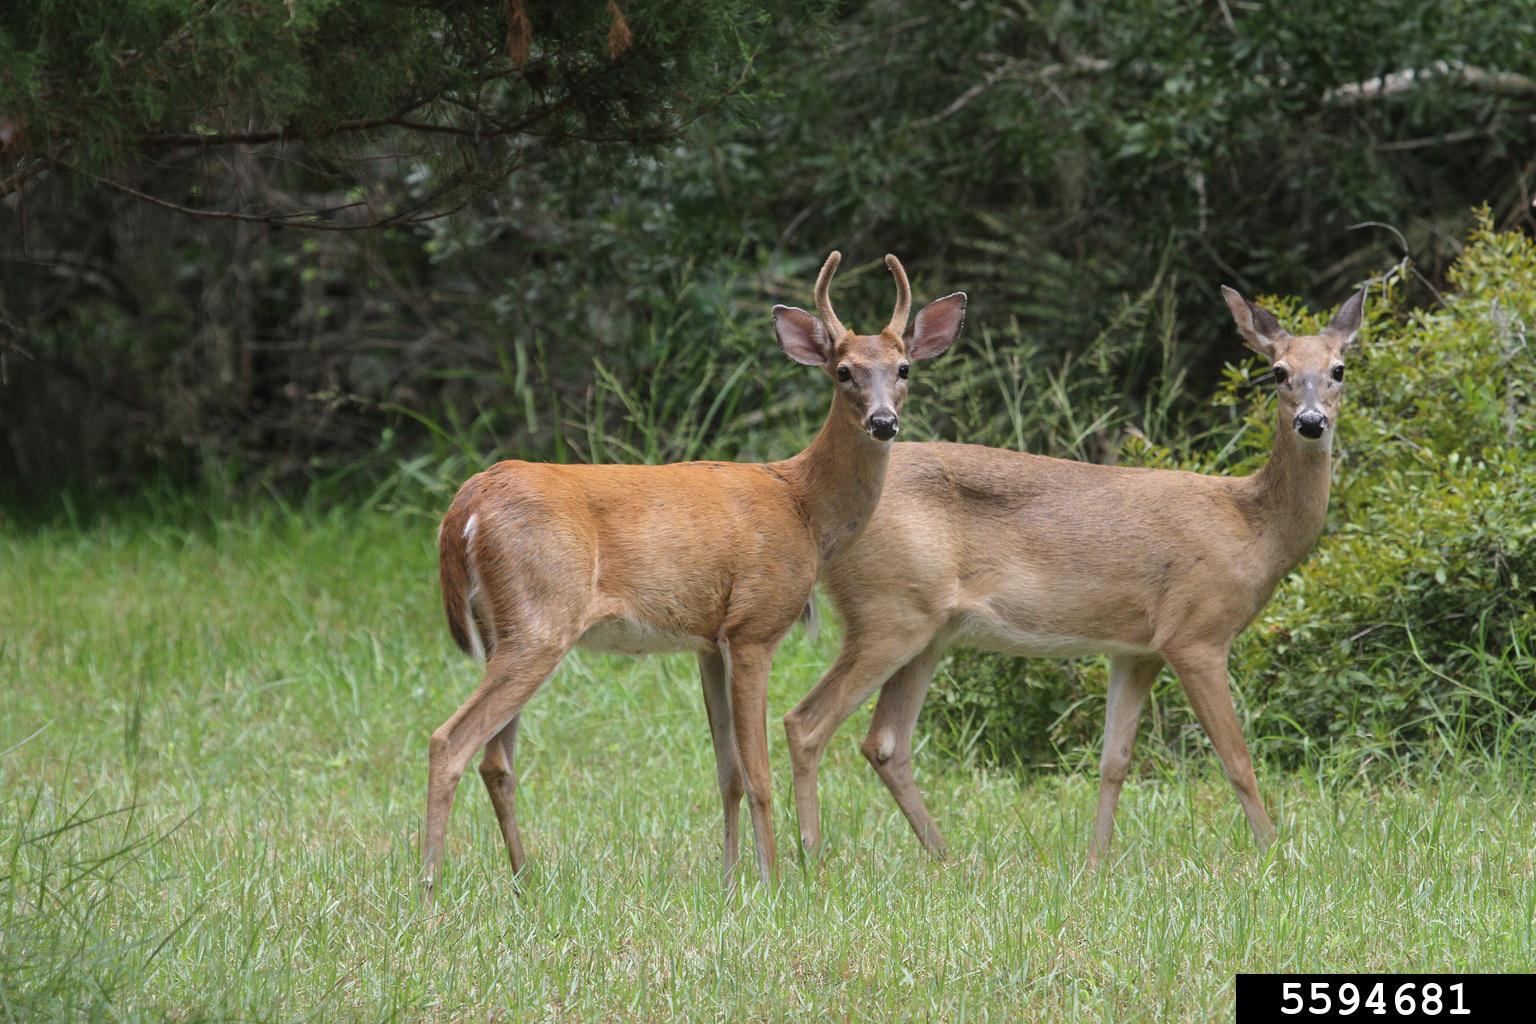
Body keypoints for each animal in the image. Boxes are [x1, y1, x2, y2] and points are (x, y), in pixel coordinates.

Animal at [427, 251, 964, 902]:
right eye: (843, 372)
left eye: (904, 368)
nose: (884, 422)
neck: (803, 508)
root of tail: (466, 504)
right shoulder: (755, 625)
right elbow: (758, 770)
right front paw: (773, 883)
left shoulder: (708, 640)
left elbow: (726, 770)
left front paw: (732, 881)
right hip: (541, 619)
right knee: (449, 742)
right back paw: (428, 889)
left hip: (505, 627)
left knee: (495, 760)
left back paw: (524, 882)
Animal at [786, 284, 1363, 872]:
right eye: (1277, 371)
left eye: (1339, 369)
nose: (1311, 421)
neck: (1252, 527)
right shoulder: (1197, 632)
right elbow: (1238, 760)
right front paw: (1276, 856)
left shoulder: (1138, 648)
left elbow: (1115, 759)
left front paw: (1096, 862)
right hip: (889, 613)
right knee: (807, 722)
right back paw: (812, 858)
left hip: (927, 629)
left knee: (885, 742)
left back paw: (948, 858)